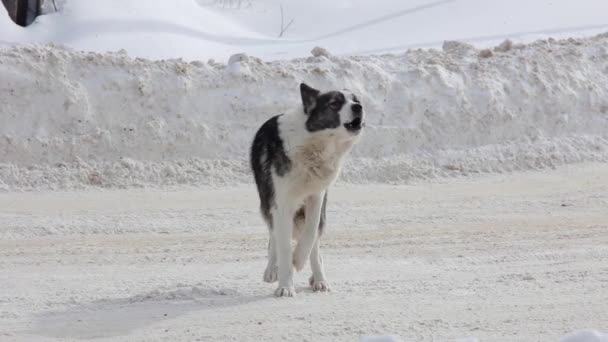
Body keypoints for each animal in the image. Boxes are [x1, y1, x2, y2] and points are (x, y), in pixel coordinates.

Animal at [248, 83, 364, 296]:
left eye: (355, 100)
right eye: (335, 103)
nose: (359, 107)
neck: (312, 144)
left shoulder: (316, 197)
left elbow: (310, 236)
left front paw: (299, 260)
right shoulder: (281, 203)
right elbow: (284, 247)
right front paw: (285, 286)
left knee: (314, 244)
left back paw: (319, 279)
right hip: (268, 204)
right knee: (274, 237)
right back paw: (272, 269)